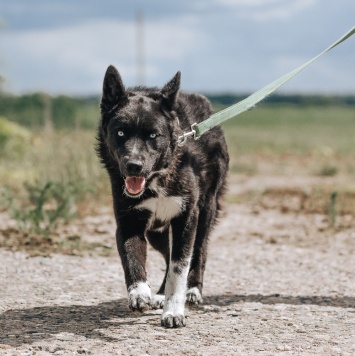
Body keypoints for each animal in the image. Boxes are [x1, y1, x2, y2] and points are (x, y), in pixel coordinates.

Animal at [97, 64, 229, 328]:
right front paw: (139, 293)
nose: (134, 166)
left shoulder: (186, 218)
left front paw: (174, 311)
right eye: (120, 132)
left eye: (153, 135)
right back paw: (159, 293)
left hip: (205, 212)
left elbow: (180, 268)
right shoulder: (128, 222)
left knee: (198, 251)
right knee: (168, 256)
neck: (156, 180)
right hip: (156, 232)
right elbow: (132, 257)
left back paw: (193, 290)